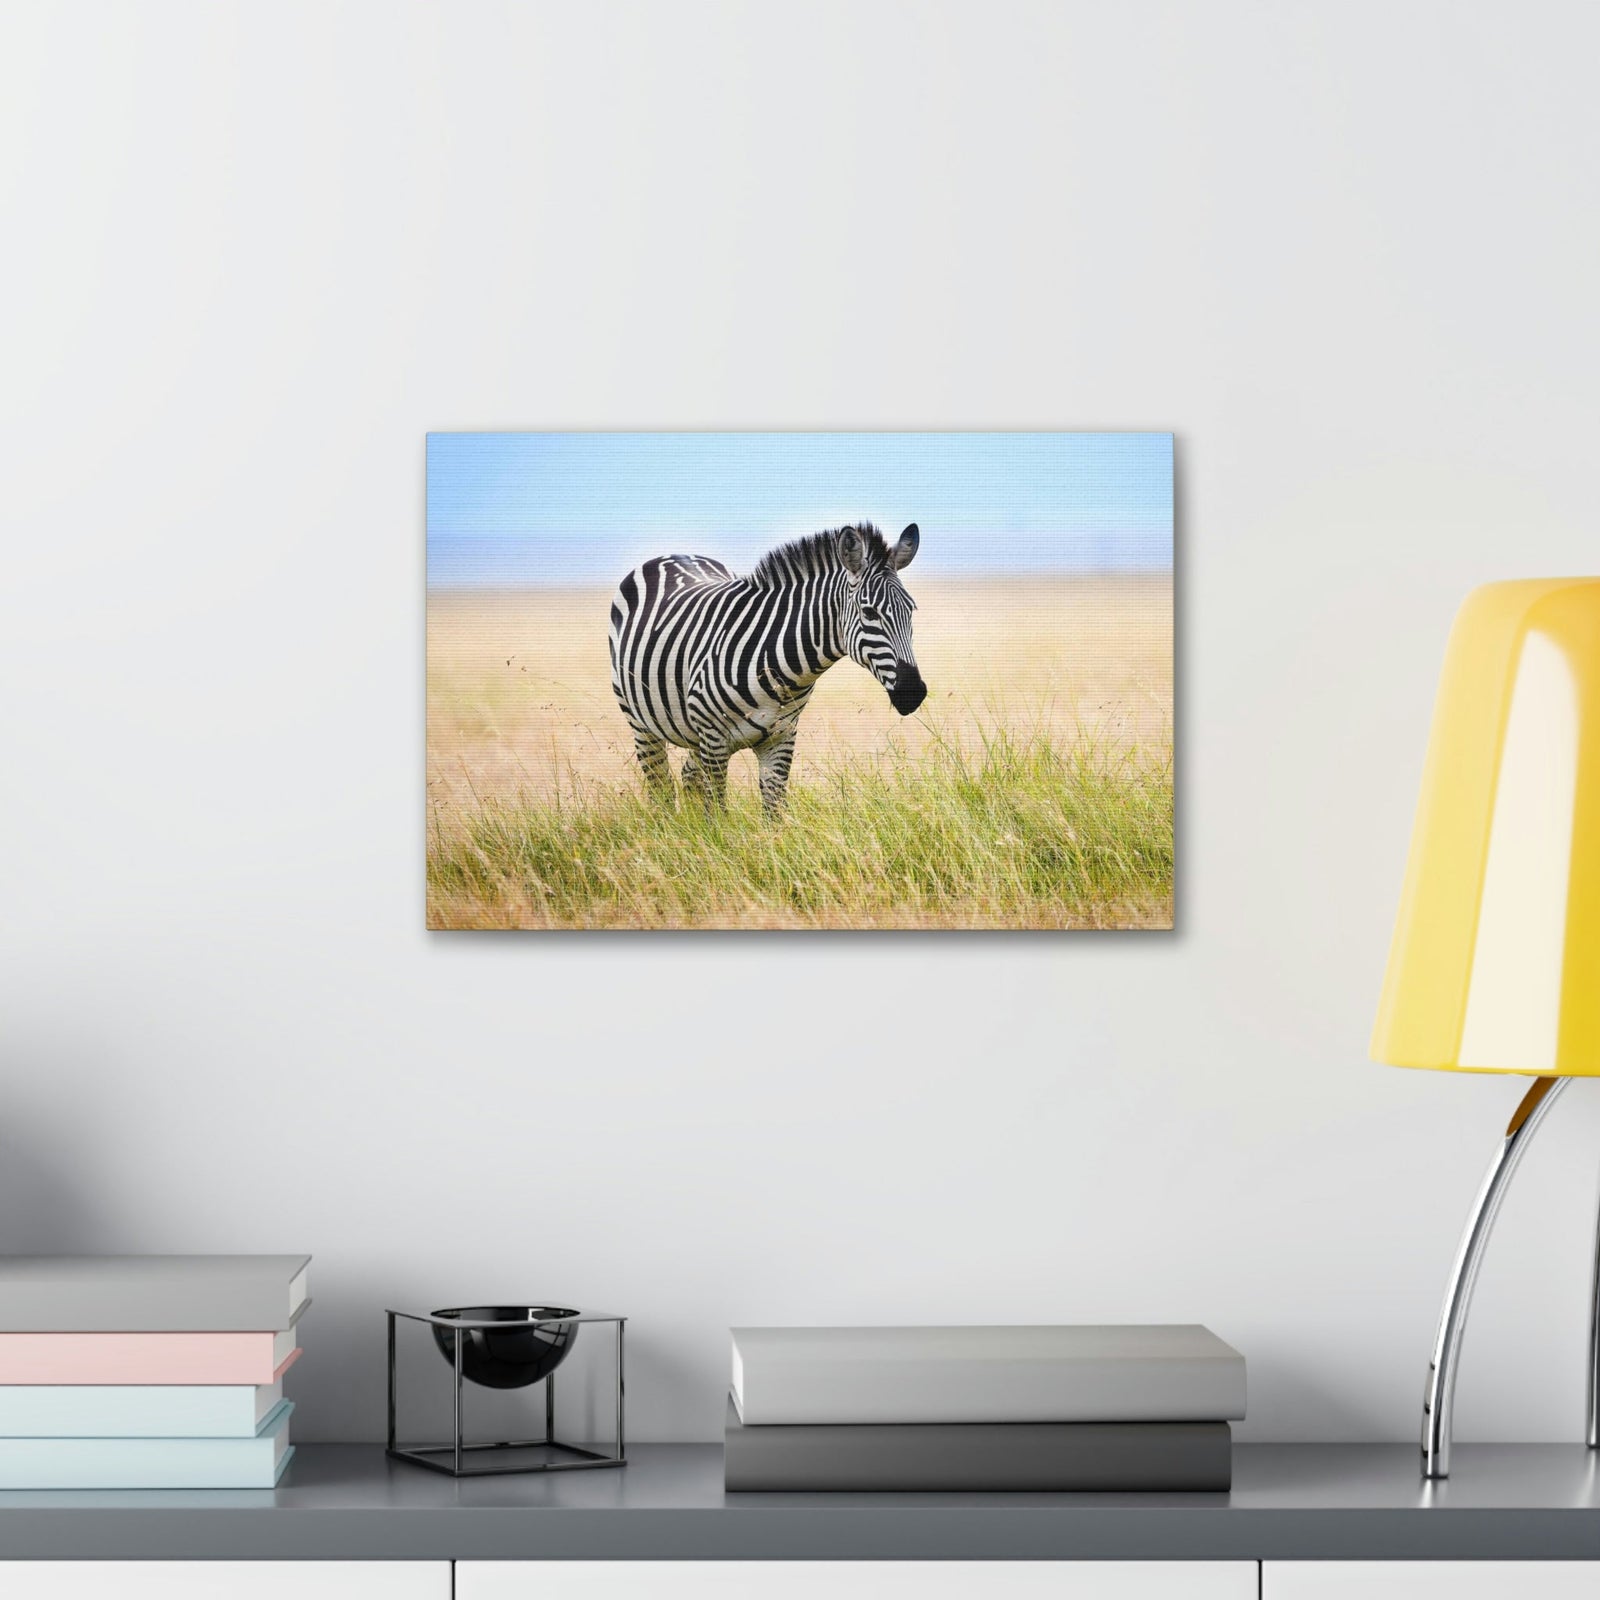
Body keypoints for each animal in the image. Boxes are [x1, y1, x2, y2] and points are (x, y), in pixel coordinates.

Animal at [607, 521, 926, 811]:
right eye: (869, 612)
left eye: (912, 610)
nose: (913, 693)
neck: (781, 671)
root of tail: (672, 554)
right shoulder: (714, 741)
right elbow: (718, 815)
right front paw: (714, 837)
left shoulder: (781, 738)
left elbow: (774, 816)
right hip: (641, 722)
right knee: (660, 787)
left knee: (688, 778)